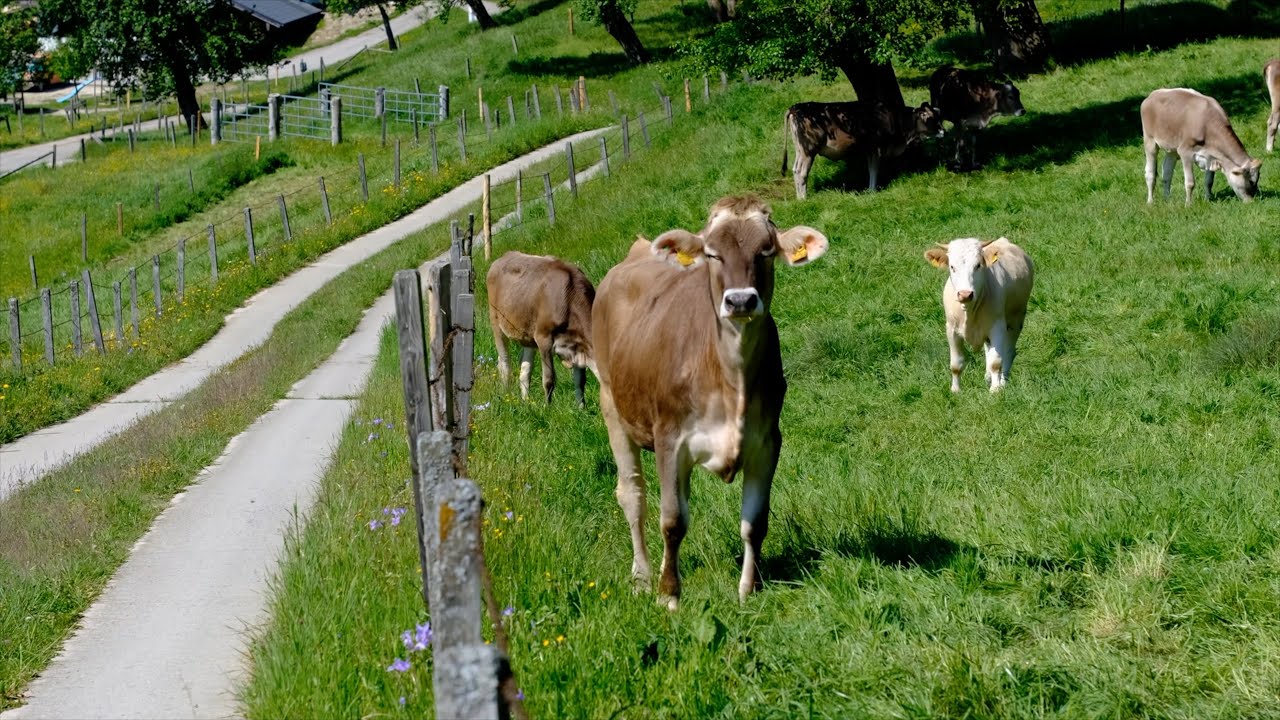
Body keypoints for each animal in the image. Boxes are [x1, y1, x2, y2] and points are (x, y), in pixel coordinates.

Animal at [486, 251, 596, 407]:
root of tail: (505, 255)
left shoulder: (578, 345)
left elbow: (580, 381)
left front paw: (581, 408)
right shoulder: (544, 338)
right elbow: (549, 379)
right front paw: (547, 407)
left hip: (527, 334)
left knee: (525, 370)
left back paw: (526, 402)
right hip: (496, 324)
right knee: (505, 364)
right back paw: (507, 396)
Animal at [592, 195, 829, 610]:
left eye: (765, 251)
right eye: (713, 254)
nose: (740, 300)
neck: (731, 379)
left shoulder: (767, 442)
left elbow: (755, 522)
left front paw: (749, 589)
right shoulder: (670, 440)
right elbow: (672, 520)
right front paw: (669, 595)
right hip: (612, 404)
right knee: (632, 495)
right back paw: (642, 576)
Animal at [781, 101, 944, 198]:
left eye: (939, 116)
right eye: (931, 118)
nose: (943, 131)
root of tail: (796, 107)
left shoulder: (870, 150)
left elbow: (871, 169)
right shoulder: (877, 147)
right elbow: (874, 170)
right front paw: (872, 190)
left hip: (800, 150)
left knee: (795, 169)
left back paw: (799, 198)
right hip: (808, 150)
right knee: (802, 172)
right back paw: (804, 198)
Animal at [923, 237, 1034, 394]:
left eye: (978, 265)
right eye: (952, 267)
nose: (965, 294)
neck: (969, 311)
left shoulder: (997, 327)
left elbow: (996, 362)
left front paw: (995, 389)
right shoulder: (951, 329)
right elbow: (956, 364)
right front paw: (955, 390)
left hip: (1016, 319)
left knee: (1008, 352)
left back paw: (1002, 381)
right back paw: (988, 376)